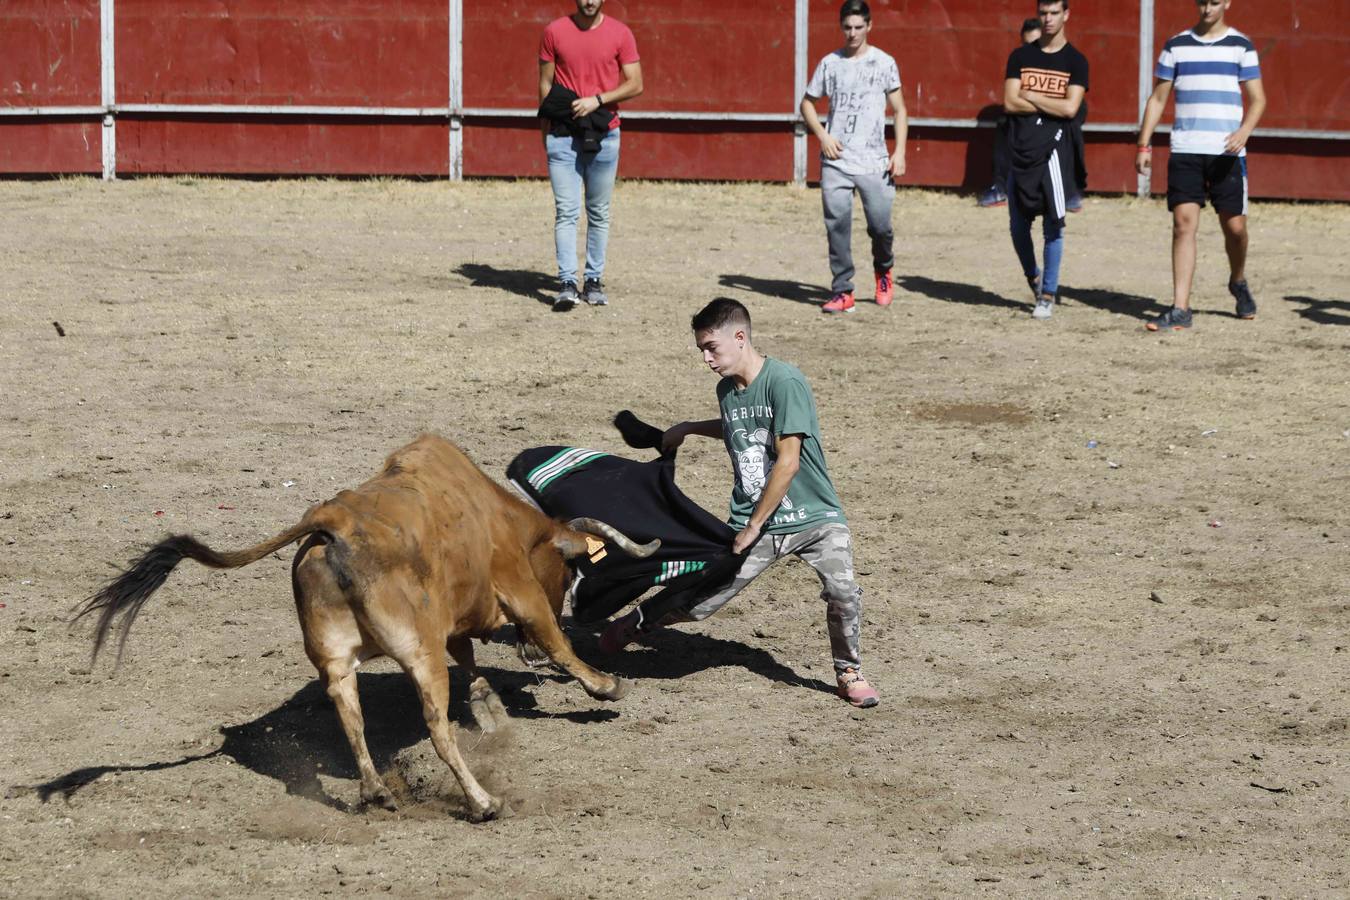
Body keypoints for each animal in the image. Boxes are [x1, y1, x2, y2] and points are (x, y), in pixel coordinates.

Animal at [76, 437, 656, 825]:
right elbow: (554, 641)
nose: (525, 658)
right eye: (567, 571)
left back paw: (377, 793)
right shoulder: (518, 590)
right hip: (417, 654)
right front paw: (604, 685)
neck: (499, 516)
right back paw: (483, 802)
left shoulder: (451, 623)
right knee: (435, 728)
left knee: (349, 717)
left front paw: (488, 705)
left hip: (334, 659)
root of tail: (331, 522)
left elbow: (468, 658)